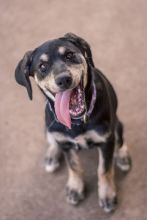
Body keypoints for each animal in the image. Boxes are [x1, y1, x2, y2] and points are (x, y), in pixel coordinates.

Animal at [15, 33, 132, 213]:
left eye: (69, 55)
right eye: (42, 66)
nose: (63, 79)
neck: (77, 121)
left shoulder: (106, 140)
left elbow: (104, 169)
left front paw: (107, 195)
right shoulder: (64, 142)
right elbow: (74, 166)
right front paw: (75, 188)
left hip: (116, 125)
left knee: (120, 140)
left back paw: (122, 156)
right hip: (48, 127)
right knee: (53, 140)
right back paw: (52, 155)